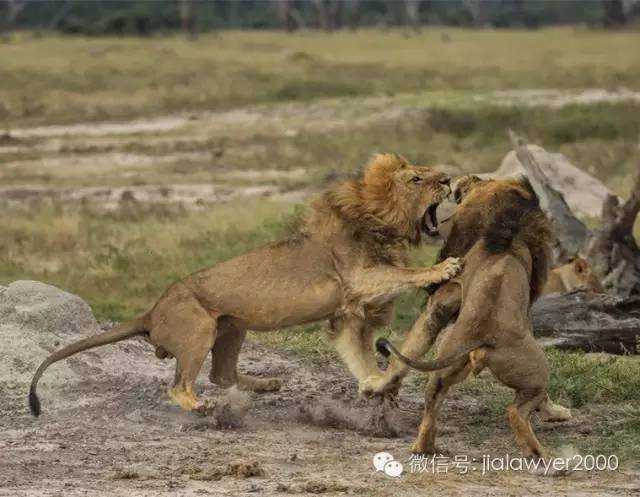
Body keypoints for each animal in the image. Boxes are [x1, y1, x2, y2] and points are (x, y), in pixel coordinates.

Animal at [30, 153, 462, 416]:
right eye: (416, 178)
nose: (447, 179)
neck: (375, 221)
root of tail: (151, 310)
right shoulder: (357, 279)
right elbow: (400, 275)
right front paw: (443, 268)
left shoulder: (347, 317)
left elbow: (359, 355)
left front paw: (375, 384)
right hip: (199, 328)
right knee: (181, 384)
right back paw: (201, 406)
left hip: (231, 327)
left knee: (221, 375)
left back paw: (266, 383)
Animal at [362, 174, 572, 458]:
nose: (457, 180)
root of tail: (482, 335)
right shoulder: (526, 311)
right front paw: (555, 412)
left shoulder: (445, 296)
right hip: (539, 371)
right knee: (516, 411)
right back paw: (539, 454)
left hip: (446, 364)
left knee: (432, 401)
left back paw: (424, 447)